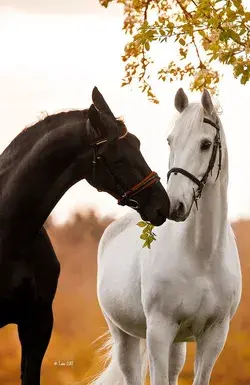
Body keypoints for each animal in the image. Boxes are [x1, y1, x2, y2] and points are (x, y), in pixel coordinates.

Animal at [91, 88, 241, 382]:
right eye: (171, 141)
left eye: (206, 144)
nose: (174, 206)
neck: (202, 256)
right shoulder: (159, 332)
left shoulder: (214, 336)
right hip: (124, 336)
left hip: (178, 342)